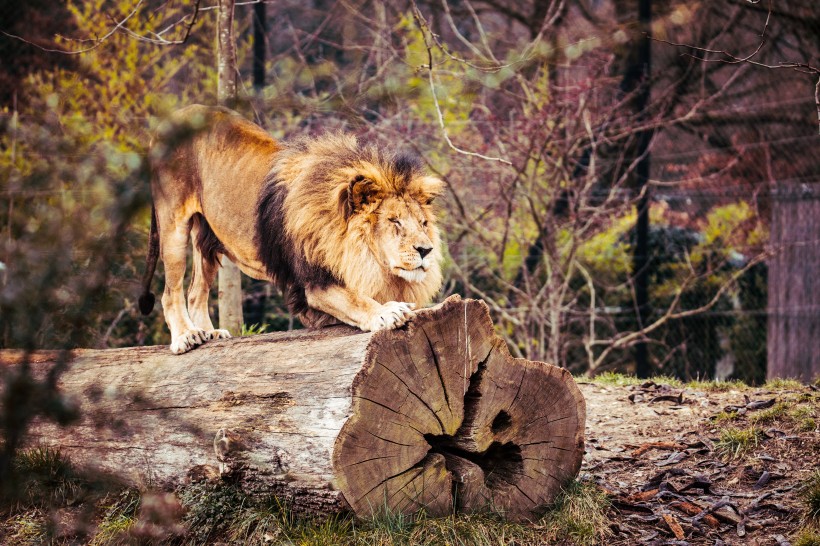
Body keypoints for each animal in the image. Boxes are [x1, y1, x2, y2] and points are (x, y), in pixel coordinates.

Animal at [142, 104, 448, 354]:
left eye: (423, 223)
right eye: (394, 221)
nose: (426, 250)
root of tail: (166, 122)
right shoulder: (314, 284)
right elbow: (355, 299)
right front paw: (386, 312)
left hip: (207, 239)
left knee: (196, 291)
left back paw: (210, 332)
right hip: (173, 226)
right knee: (170, 292)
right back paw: (186, 336)